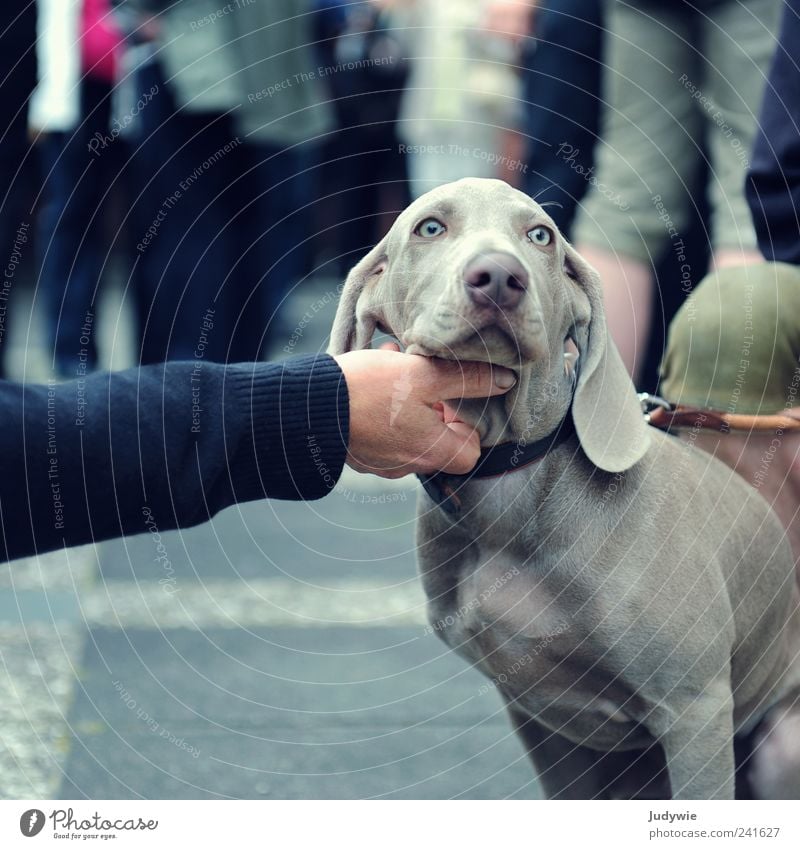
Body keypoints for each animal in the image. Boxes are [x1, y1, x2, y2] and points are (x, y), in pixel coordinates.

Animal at [328, 177, 800, 796]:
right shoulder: (537, 712)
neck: (511, 488)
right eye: (430, 227)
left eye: (540, 236)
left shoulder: (694, 707)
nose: (499, 277)